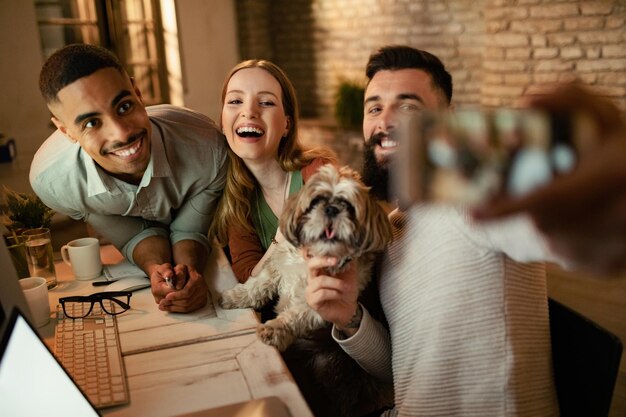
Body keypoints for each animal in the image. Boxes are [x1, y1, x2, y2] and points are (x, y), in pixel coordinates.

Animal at [217, 162, 388, 352]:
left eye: (348, 205)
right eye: (317, 201)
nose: (331, 209)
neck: (313, 255)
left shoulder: (318, 303)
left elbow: (294, 317)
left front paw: (274, 329)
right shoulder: (276, 265)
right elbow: (256, 285)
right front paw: (234, 297)